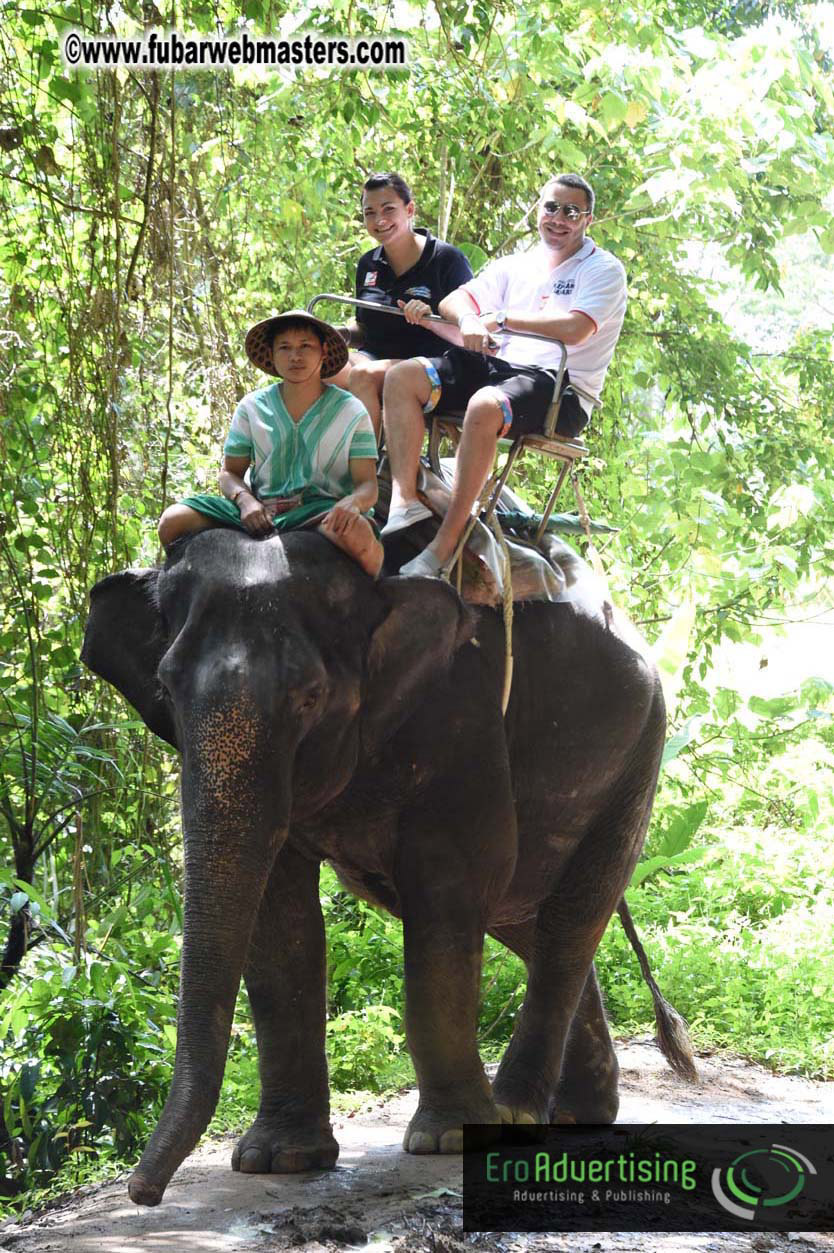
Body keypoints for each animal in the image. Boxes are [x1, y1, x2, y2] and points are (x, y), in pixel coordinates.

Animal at [82, 525, 682, 1208]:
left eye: (310, 697)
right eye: (165, 688)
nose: (142, 1192)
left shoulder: (463, 711)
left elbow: (453, 880)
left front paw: (450, 1140)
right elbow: (279, 917)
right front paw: (277, 1160)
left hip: (640, 753)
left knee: (570, 919)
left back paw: (518, 1114)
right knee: (527, 918)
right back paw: (576, 1113)